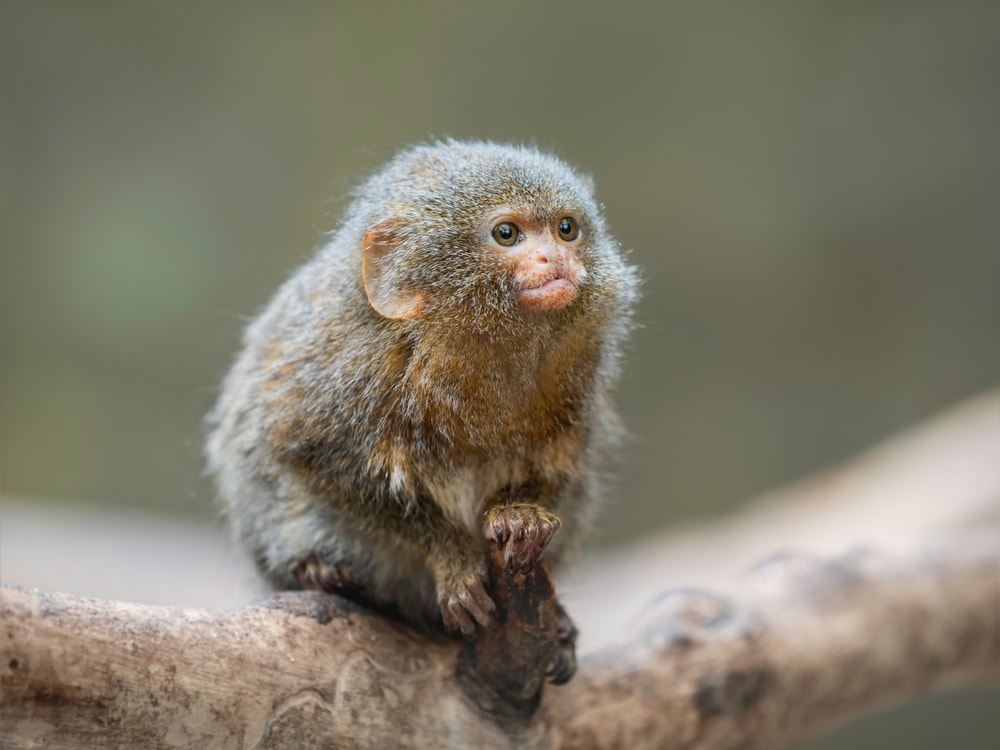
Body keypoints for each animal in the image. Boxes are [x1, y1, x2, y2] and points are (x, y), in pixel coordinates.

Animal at [205, 140, 638, 684]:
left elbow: (561, 471)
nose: (555, 258)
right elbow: (316, 463)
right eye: (506, 234)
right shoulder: (341, 379)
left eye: (566, 229)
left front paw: (522, 515)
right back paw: (320, 572)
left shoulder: (578, 382)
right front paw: (450, 556)